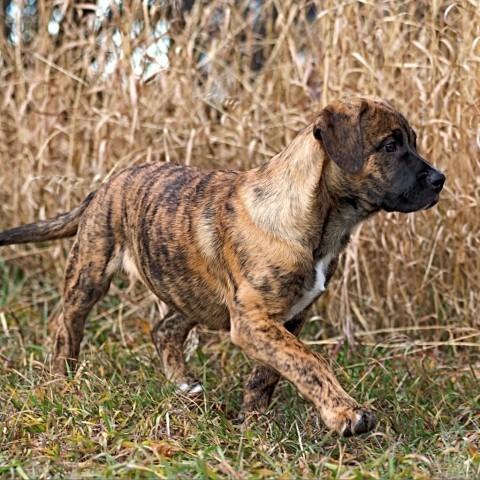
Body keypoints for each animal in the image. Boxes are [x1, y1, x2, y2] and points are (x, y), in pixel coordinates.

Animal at [0, 97, 446, 438]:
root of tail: (104, 186)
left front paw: (253, 423)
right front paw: (345, 413)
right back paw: (63, 381)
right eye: (389, 146)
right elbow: (309, 362)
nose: (439, 179)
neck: (319, 221)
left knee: (164, 330)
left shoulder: (286, 318)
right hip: (90, 272)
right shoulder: (252, 320)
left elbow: (270, 373)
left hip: (187, 287)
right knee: (68, 328)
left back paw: (184, 386)